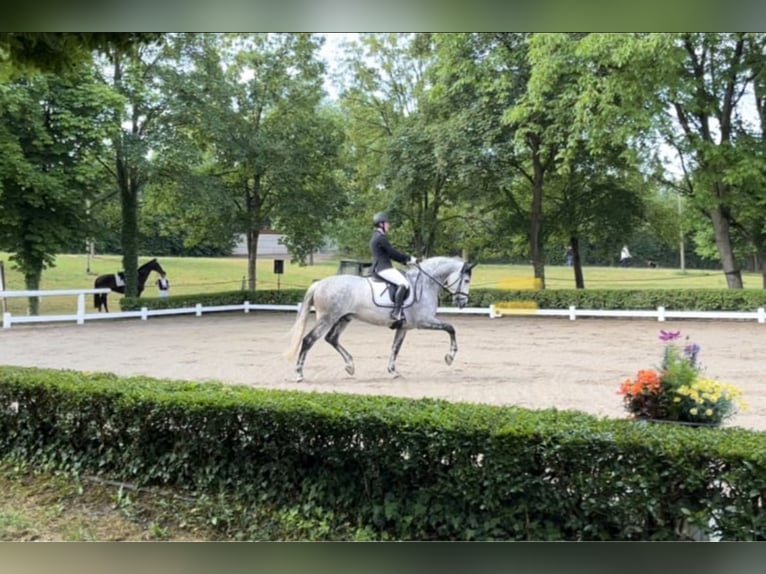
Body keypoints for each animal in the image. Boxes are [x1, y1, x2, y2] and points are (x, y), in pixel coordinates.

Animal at [284, 256, 476, 382]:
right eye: (466, 280)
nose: (462, 302)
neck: (424, 283)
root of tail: (319, 284)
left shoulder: (404, 327)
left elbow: (395, 348)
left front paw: (393, 371)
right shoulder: (424, 321)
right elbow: (450, 328)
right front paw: (449, 357)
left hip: (344, 318)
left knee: (332, 339)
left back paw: (350, 366)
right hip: (328, 319)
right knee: (309, 340)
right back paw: (299, 374)